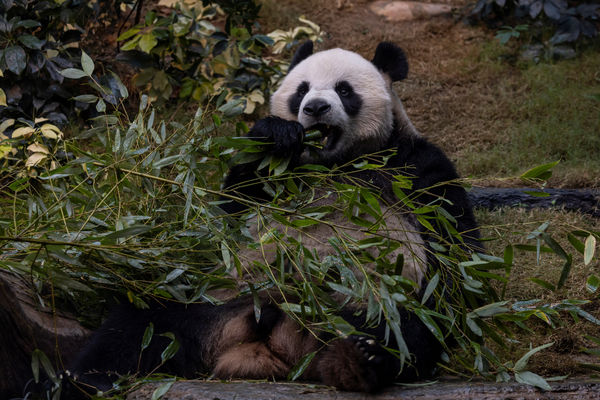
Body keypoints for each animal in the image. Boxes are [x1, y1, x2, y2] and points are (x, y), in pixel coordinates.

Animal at [64, 40, 478, 396]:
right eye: (301, 90)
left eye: (344, 90)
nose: (315, 108)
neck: (333, 163)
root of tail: (273, 338)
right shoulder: (276, 179)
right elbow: (232, 207)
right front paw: (277, 134)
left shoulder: (412, 165)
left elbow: (453, 247)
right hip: (208, 293)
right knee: (140, 322)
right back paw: (87, 379)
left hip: (371, 298)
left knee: (409, 326)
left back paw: (359, 358)